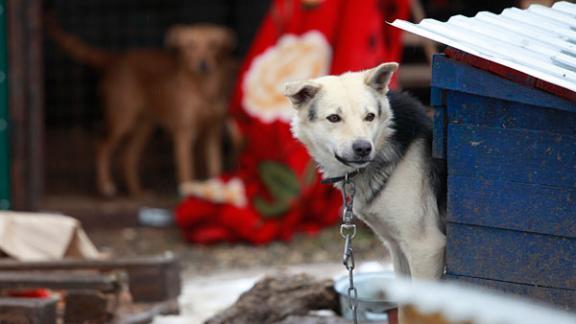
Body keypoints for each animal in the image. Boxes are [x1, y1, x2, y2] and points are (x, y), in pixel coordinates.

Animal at [47, 21, 238, 197]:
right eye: (190, 46)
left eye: (213, 44)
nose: (203, 64)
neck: (205, 89)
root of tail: (117, 58)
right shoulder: (183, 133)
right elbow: (187, 172)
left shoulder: (212, 134)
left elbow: (215, 168)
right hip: (122, 120)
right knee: (101, 148)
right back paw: (106, 186)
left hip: (144, 126)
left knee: (128, 157)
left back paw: (136, 191)